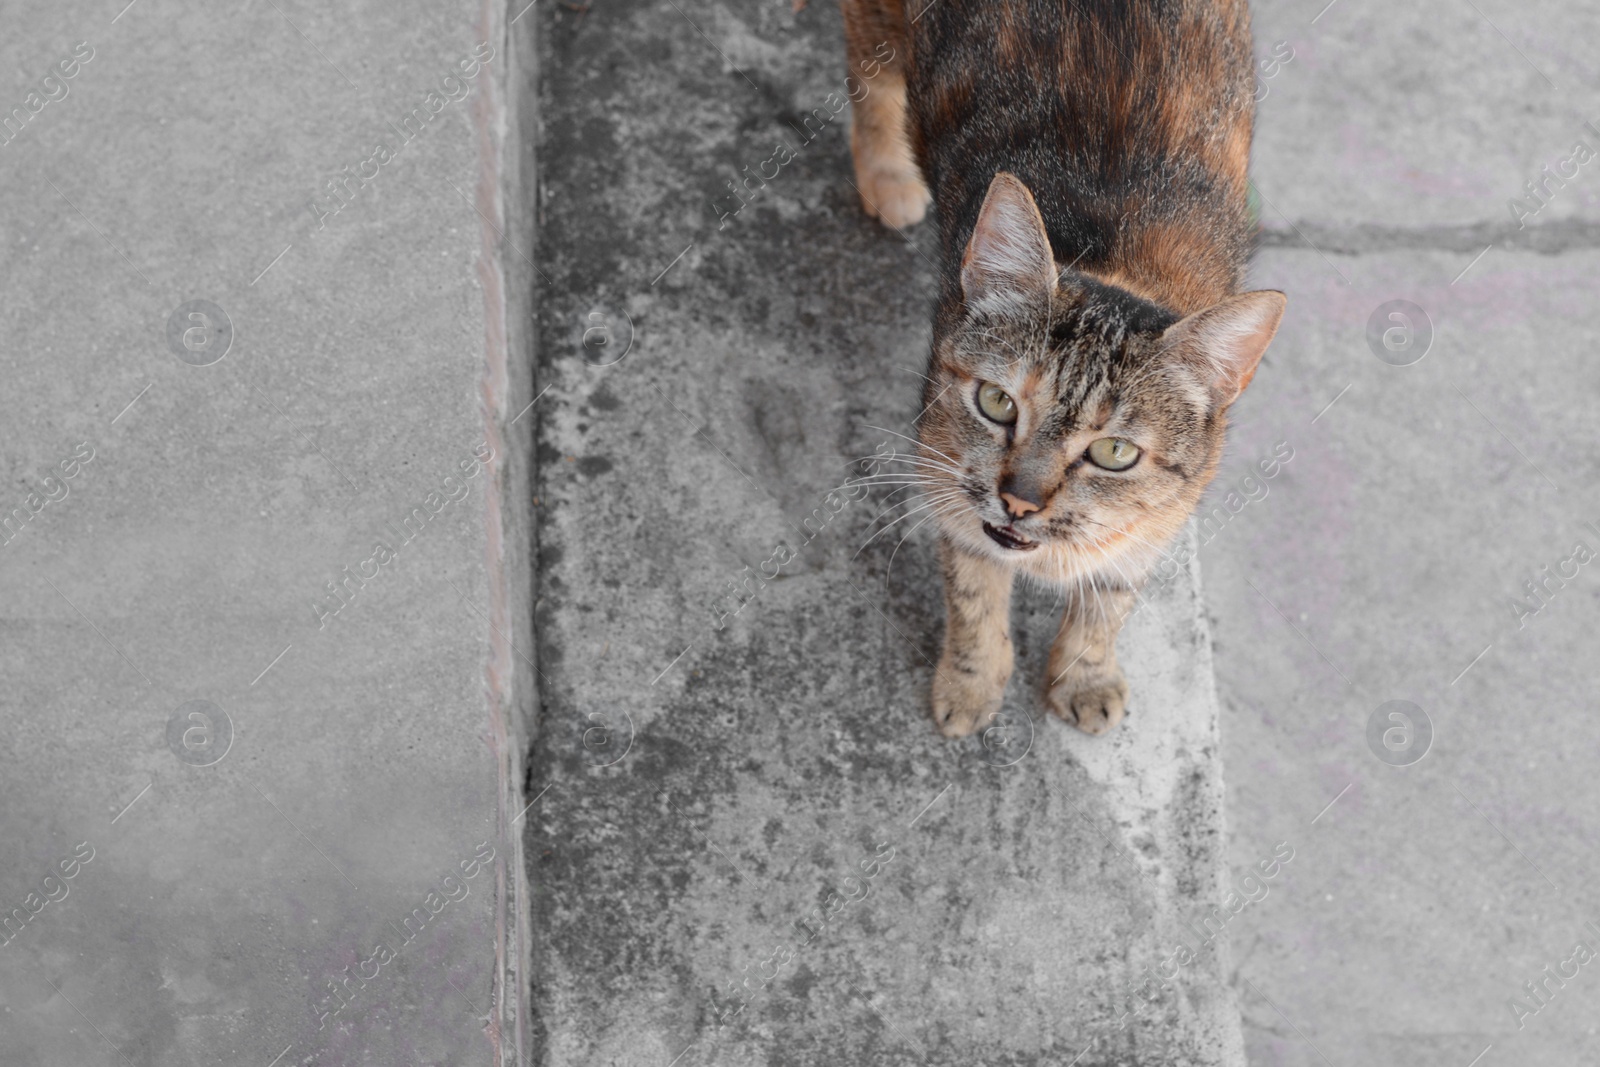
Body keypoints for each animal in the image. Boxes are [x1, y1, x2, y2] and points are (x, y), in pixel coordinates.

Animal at [838, 0, 1286, 739]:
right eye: (997, 403)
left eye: (1114, 453)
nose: (1020, 501)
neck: (1118, 260)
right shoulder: (946, 477)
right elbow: (973, 591)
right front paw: (972, 680)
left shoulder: (1156, 524)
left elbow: (1109, 598)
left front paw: (1085, 674)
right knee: (866, 82)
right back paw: (888, 175)